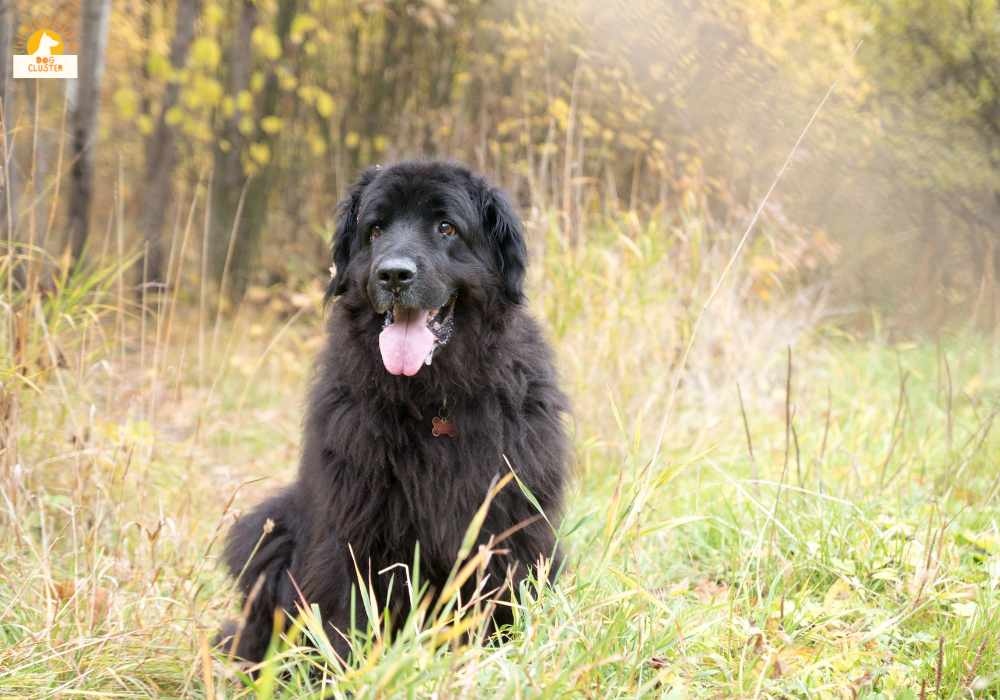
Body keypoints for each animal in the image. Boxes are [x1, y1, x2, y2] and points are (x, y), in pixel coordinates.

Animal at [222, 161, 572, 664]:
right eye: (376, 229)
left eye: (446, 227)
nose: (393, 275)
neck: (433, 401)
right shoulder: (354, 524)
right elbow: (346, 607)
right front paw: (348, 670)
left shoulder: (506, 523)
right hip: (270, 531)